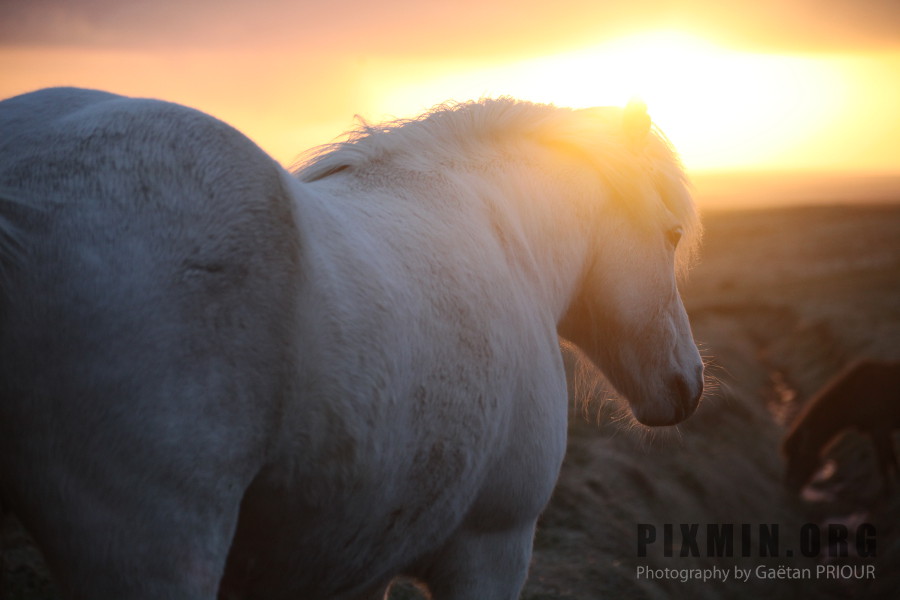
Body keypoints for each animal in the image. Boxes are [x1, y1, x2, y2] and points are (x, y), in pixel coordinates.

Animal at [780, 358, 900, 494]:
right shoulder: (881, 432)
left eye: (796, 455)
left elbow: (884, 463)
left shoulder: (880, 430)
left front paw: (886, 490)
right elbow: (892, 459)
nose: (789, 484)